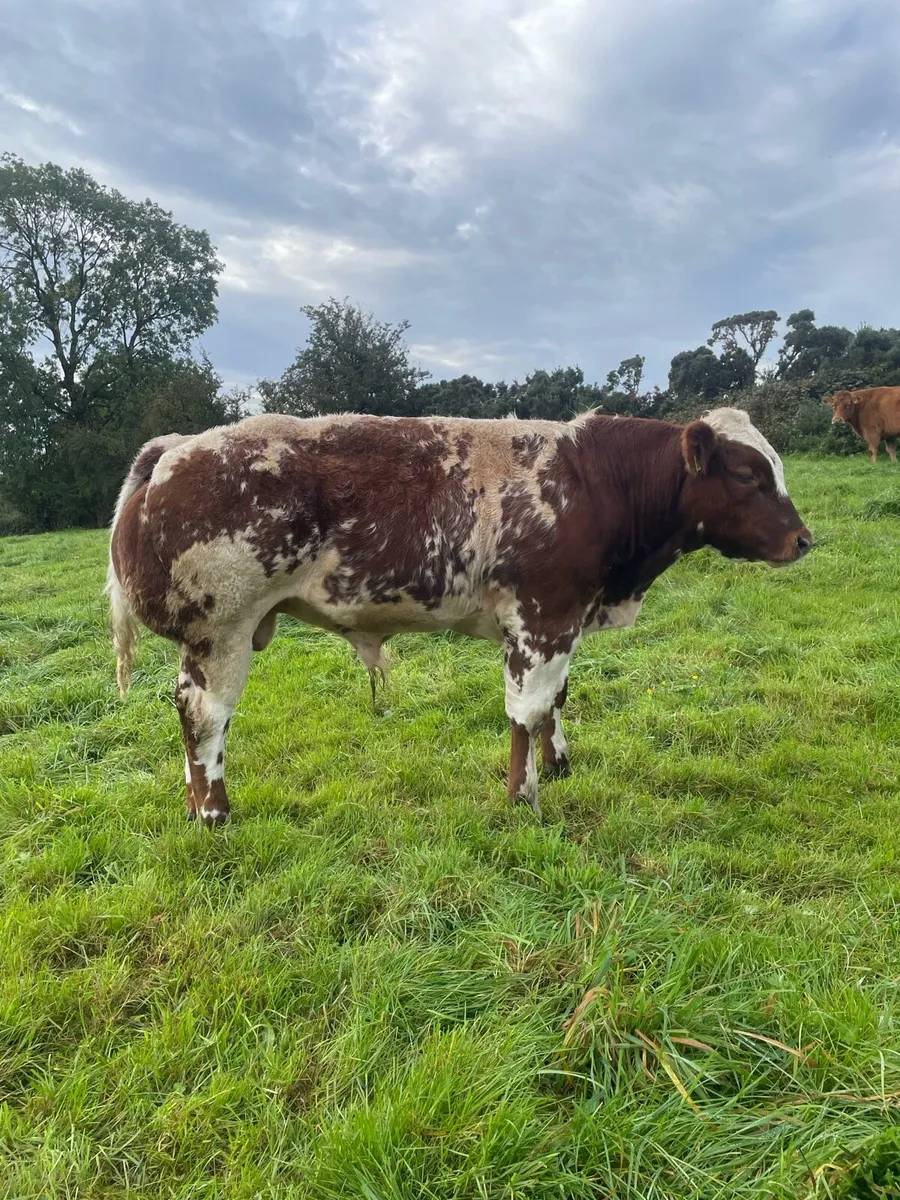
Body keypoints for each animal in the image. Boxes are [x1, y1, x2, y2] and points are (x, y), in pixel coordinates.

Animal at [107, 406, 812, 826]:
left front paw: (559, 764)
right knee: (205, 717)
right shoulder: (542, 615)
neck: (594, 482)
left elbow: (557, 700)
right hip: (220, 631)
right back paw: (213, 811)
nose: (803, 539)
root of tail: (178, 447)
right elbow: (528, 710)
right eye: (748, 475)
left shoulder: (562, 621)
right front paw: (523, 798)